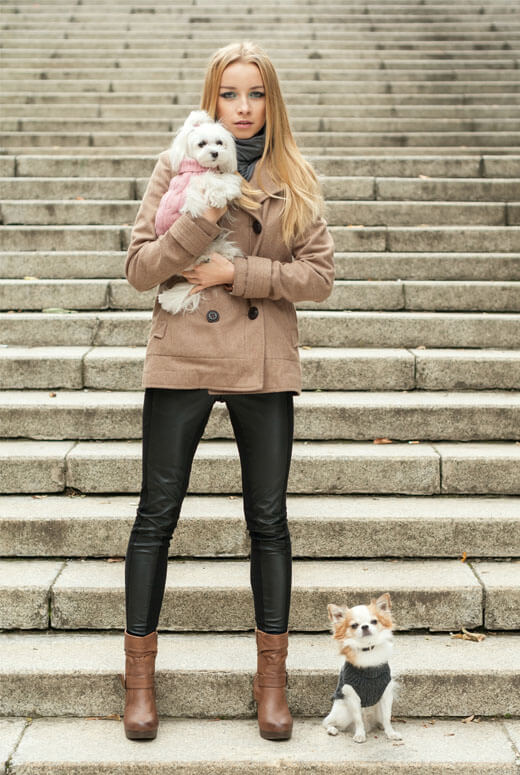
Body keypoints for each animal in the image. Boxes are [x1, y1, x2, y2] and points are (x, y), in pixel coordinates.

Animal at [154, 110, 244, 316]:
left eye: (219, 142)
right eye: (201, 144)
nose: (215, 153)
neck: (197, 167)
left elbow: (223, 178)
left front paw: (229, 188)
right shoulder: (193, 189)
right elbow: (210, 180)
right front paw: (220, 195)